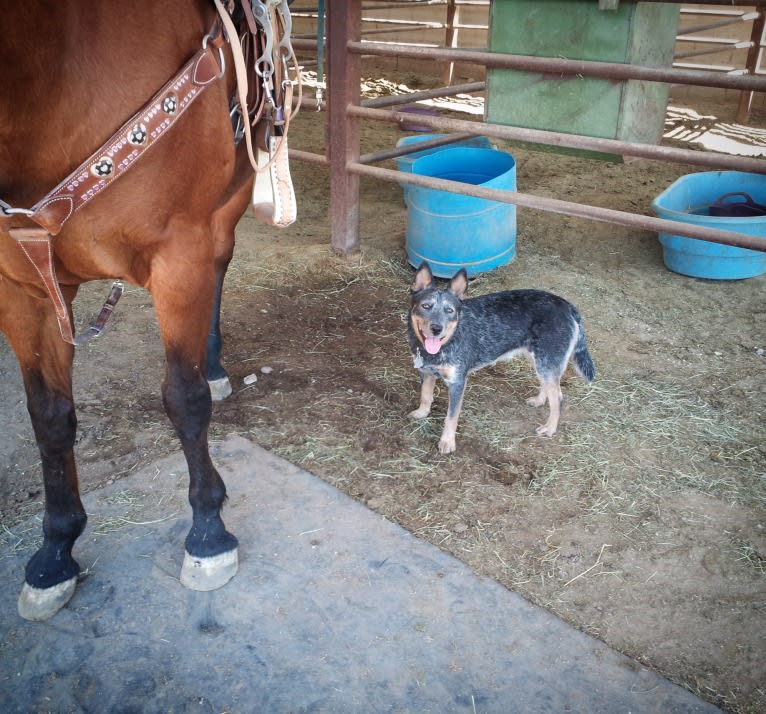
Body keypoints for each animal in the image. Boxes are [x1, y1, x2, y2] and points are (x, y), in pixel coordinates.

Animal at [0, 0, 298, 616]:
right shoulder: (22, 289)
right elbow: (49, 417)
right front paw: (55, 553)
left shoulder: (179, 253)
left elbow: (183, 398)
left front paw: (209, 532)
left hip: (227, 201)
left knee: (221, 263)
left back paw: (213, 366)